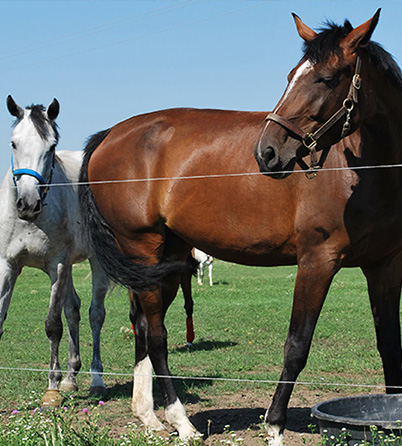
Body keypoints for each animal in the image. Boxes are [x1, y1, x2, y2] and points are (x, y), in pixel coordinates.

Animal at [0, 95, 109, 400]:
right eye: (13, 143)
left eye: (51, 146)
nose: (28, 204)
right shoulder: (7, 266)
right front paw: (63, 380)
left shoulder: (56, 265)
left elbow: (52, 325)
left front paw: (52, 387)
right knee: (73, 309)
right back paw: (72, 377)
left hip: (95, 262)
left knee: (95, 314)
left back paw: (96, 379)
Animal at [78, 8, 398, 444]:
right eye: (292, 75)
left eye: (328, 78)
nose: (268, 152)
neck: (365, 170)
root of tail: (111, 133)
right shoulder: (317, 262)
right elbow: (297, 345)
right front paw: (275, 425)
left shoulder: (385, 266)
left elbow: (389, 344)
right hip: (141, 249)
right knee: (157, 336)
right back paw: (181, 422)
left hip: (165, 259)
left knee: (142, 327)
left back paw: (149, 416)